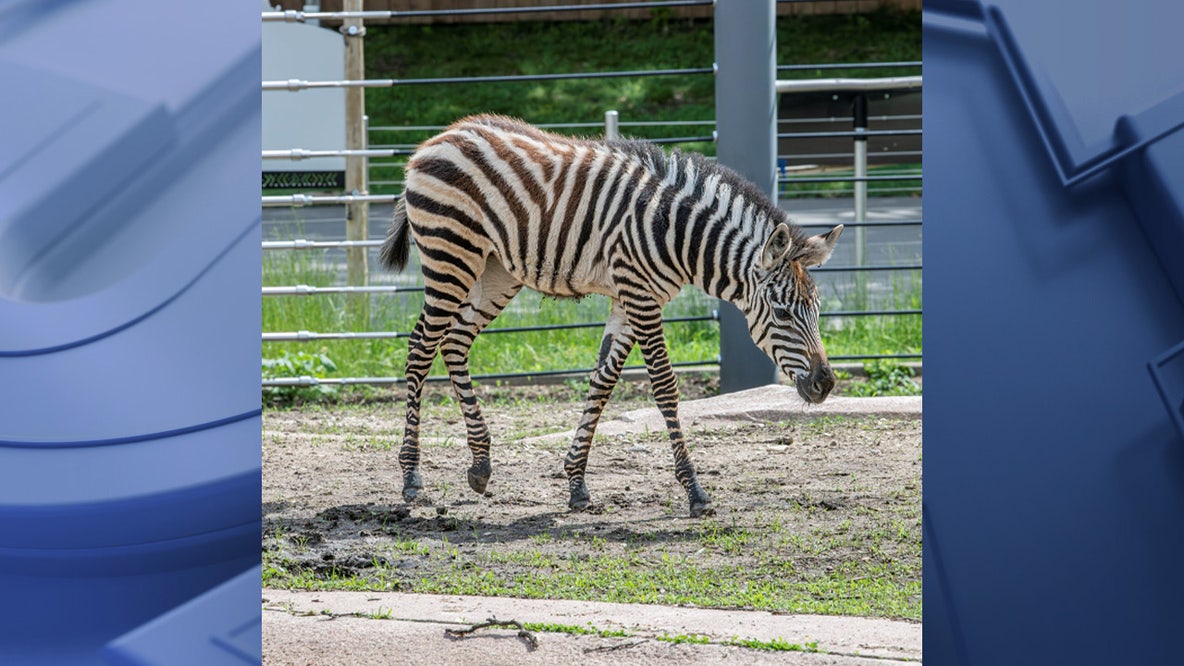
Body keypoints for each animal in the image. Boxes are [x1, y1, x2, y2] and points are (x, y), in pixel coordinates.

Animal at [379, 114, 842, 517]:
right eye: (781, 313)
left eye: (817, 311)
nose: (826, 383)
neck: (673, 231)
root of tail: (440, 137)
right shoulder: (641, 296)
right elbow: (665, 388)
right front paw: (694, 490)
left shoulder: (629, 297)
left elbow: (603, 382)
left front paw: (577, 483)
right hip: (449, 254)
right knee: (421, 347)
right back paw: (412, 477)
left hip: (495, 270)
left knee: (455, 341)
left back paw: (479, 466)